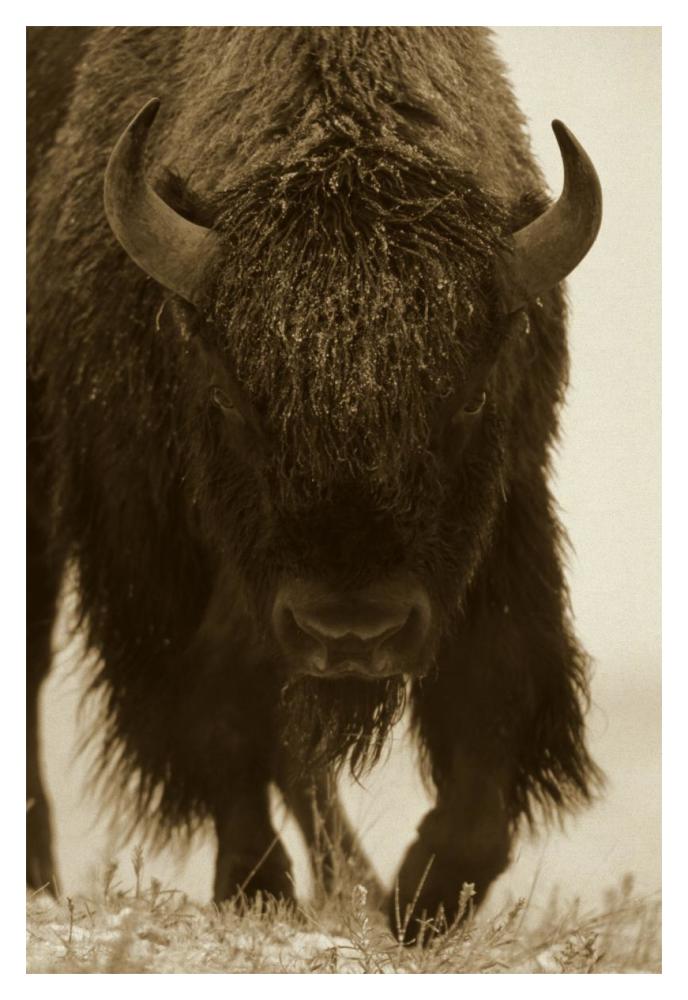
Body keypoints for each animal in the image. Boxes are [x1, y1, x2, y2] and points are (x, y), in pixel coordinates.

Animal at [27, 27, 603, 936]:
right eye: (229, 394)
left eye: (471, 396)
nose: (353, 632)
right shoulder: (155, 545)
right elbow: (220, 706)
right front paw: (255, 886)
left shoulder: (506, 513)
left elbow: (493, 699)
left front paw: (420, 899)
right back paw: (42, 878)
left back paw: (354, 883)